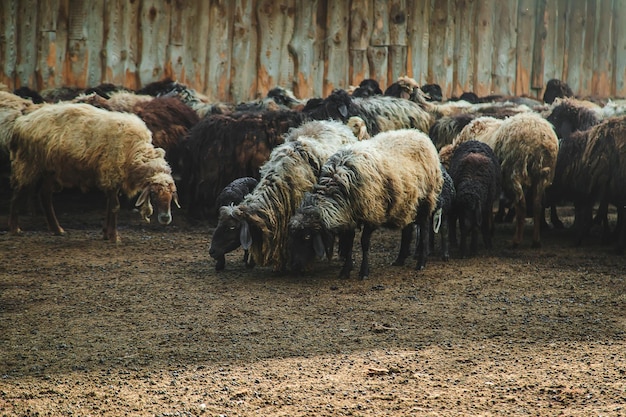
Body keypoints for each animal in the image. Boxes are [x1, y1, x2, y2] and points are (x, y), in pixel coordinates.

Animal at [7, 102, 178, 242]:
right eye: (153, 194)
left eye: (171, 195)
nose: (165, 218)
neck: (133, 150)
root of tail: (21, 123)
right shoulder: (111, 173)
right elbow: (114, 207)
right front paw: (114, 237)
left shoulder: (112, 178)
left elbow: (109, 206)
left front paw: (106, 234)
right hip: (28, 163)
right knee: (17, 194)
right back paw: (15, 229)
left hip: (51, 169)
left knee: (45, 194)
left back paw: (57, 229)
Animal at [488, 111, 556, 247]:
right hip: (541, 175)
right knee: (537, 205)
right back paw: (536, 240)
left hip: (515, 171)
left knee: (521, 206)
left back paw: (516, 240)